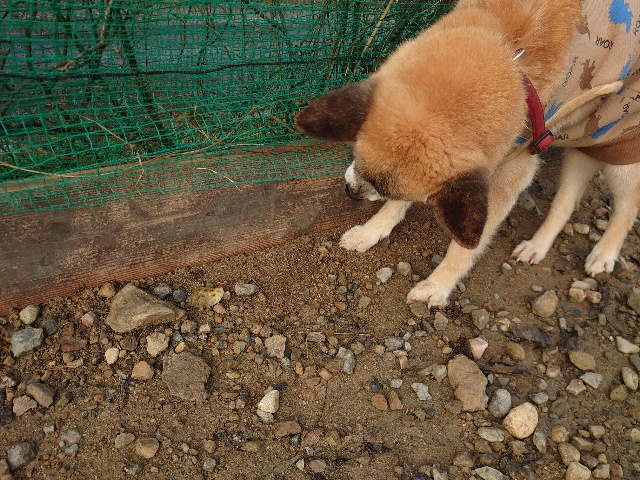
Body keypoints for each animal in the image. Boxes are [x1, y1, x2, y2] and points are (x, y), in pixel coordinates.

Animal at [295, 0, 640, 308]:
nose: (350, 192)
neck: (508, 52)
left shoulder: (506, 177)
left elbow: (464, 249)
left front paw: (438, 286)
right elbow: (395, 207)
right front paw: (372, 231)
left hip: (620, 154)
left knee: (626, 210)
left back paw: (604, 254)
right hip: (585, 143)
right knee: (566, 202)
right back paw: (537, 247)